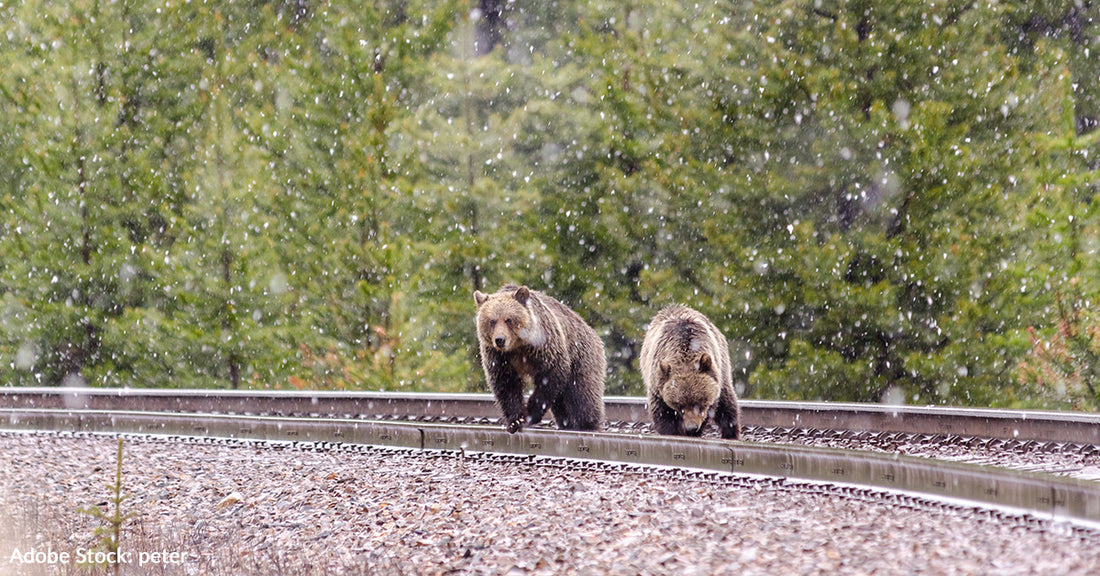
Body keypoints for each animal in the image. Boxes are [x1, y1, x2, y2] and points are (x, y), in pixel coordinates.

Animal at [475, 283, 611, 430]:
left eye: (508, 319)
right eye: (492, 321)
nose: (500, 339)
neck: (518, 346)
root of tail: (591, 330)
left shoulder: (543, 345)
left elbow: (551, 374)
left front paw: (530, 413)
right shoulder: (499, 357)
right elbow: (506, 384)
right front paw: (515, 420)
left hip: (582, 357)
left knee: (584, 395)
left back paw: (588, 425)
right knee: (562, 405)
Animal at [642, 303, 743, 439]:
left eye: (699, 402)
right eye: (679, 404)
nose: (692, 427)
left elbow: (712, 408)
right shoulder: (658, 383)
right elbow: (663, 413)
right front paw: (672, 432)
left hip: (723, 367)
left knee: (727, 404)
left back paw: (730, 433)